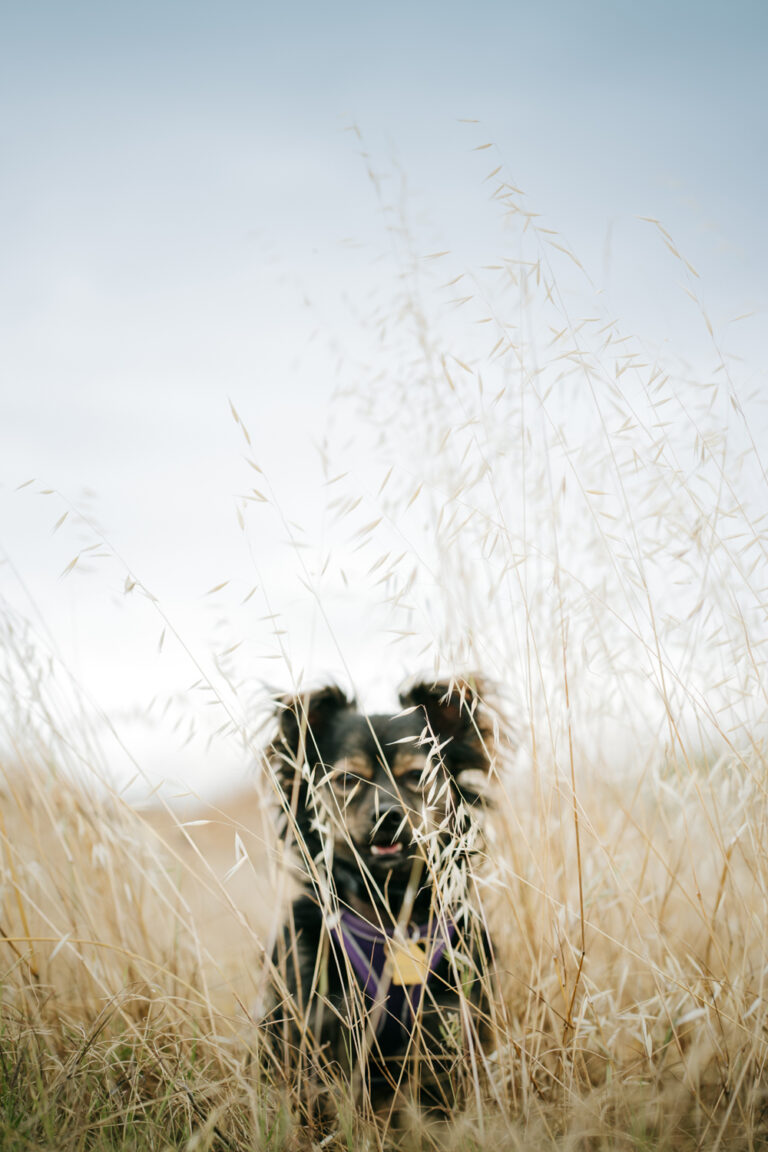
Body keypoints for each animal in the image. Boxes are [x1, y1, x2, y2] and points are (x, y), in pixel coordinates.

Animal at [264, 672, 499, 1115]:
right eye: (347, 781)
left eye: (416, 776)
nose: (386, 815)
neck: (389, 911)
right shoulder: (322, 1022)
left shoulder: (447, 1020)